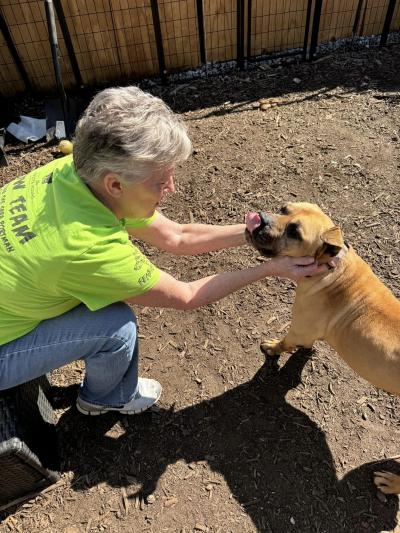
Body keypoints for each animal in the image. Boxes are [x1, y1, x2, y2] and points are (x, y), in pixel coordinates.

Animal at [245, 202, 400, 492]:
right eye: (284, 208)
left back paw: (390, 483)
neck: (330, 267)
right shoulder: (308, 333)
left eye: (295, 233)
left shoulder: (298, 329)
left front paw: (272, 348)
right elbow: (305, 348)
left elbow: (284, 343)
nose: (259, 219)